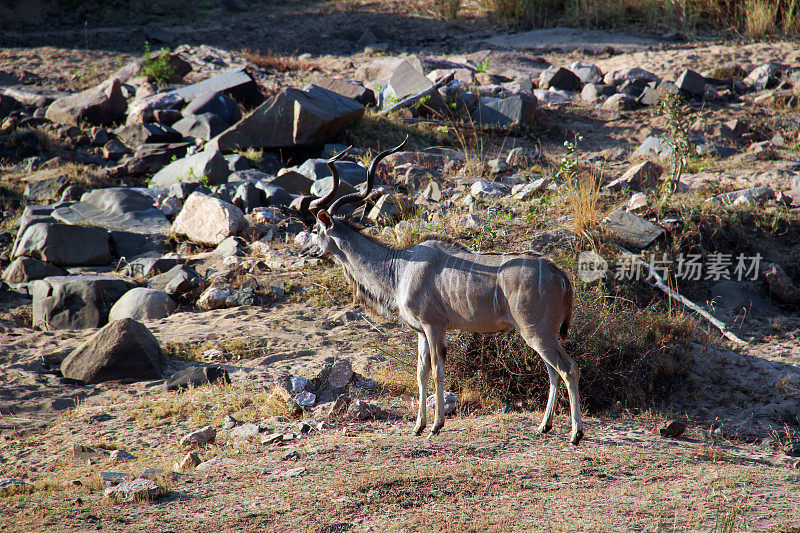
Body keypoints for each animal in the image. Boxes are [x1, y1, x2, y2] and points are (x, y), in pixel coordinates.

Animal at [296, 138, 584, 444]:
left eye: (315, 229)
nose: (302, 250)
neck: (399, 266)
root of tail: (561, 275)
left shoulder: (434, 326)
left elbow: (437, 372)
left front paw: (435, 426)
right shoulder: (422, 332)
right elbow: (420, 374)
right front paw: (418, 426)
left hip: (536, 332)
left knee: (568, 368)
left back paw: (575, 433)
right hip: (542, 334)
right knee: (553, 371)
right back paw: (544, 426)